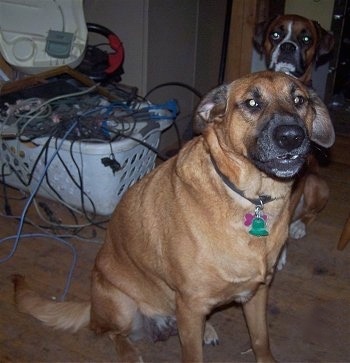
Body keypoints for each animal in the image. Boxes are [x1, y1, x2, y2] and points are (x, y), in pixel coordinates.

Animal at [11, 72, 334, 363]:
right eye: (252, 103)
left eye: (299, 100)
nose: (292, 137)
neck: (252, 198)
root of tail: (92, 307)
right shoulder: (191, 304)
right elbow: (192, 355)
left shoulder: (257, 293)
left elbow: (260, 340)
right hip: (121, 304)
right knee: (111, 333)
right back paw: (130, 352)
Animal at [254, 15, 334, 255]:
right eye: (275, 34)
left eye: (306, 39)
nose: (287, 46)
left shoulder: (298, 178)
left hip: (317, 183)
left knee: (308, 214)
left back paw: (299, 226)